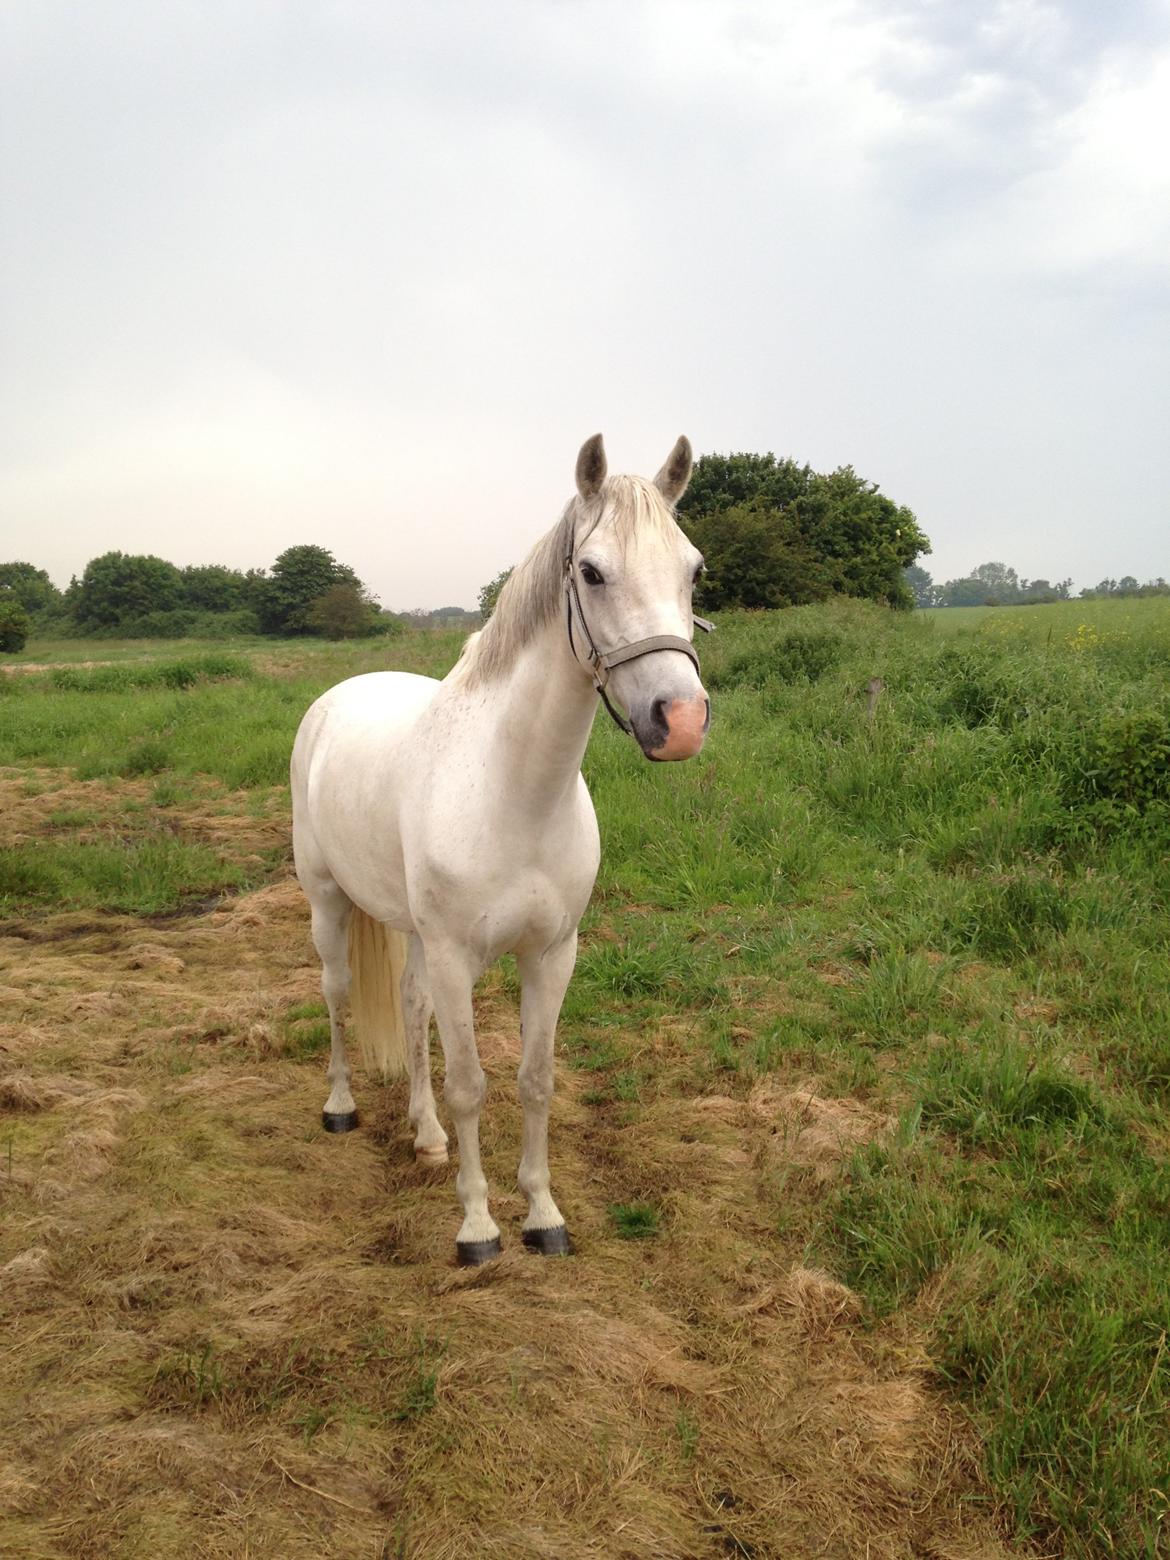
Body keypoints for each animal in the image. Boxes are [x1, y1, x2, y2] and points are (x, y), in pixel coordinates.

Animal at [290, 434, 711, 1265]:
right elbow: (471, 1086)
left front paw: (543, 1216)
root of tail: (337, 698)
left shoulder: (551, 954)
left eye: (693, 570)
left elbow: (534, 1080)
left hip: (415, 933)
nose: (678, 721)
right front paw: (478, 1227)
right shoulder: (458, 957)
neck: (515, 791)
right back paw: (340, 1106)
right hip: (328, 902)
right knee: (338, 994)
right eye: (592, 572)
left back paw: (425, 1137)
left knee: (411, 1006)